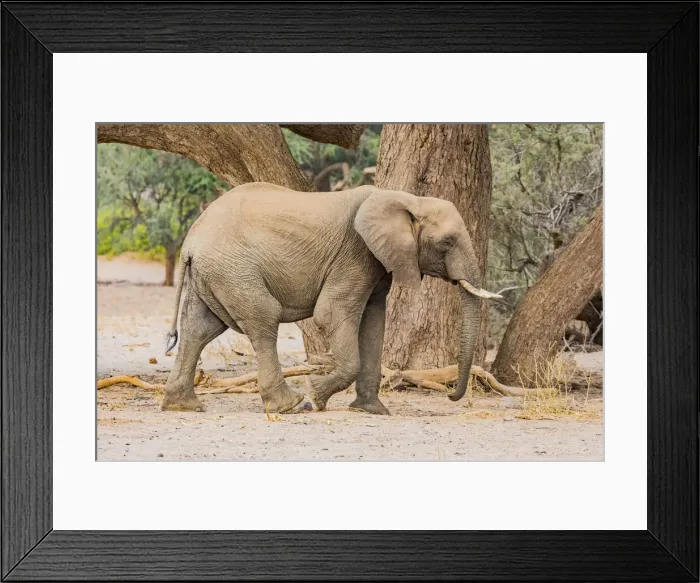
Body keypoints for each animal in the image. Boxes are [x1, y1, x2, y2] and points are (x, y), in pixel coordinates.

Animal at [161, 182, 498, 415]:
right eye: (447, 242)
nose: (451, 395)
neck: (406, 198)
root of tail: (190, 241)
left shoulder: (376, 263)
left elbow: (373, 322)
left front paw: (373, 411)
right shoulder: (355, 253)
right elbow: (331, 314)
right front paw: (316, 396)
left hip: (213, 273)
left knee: (199, 329)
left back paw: (183, 406)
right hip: (234, 270)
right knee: (263, 321)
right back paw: (292, 405)